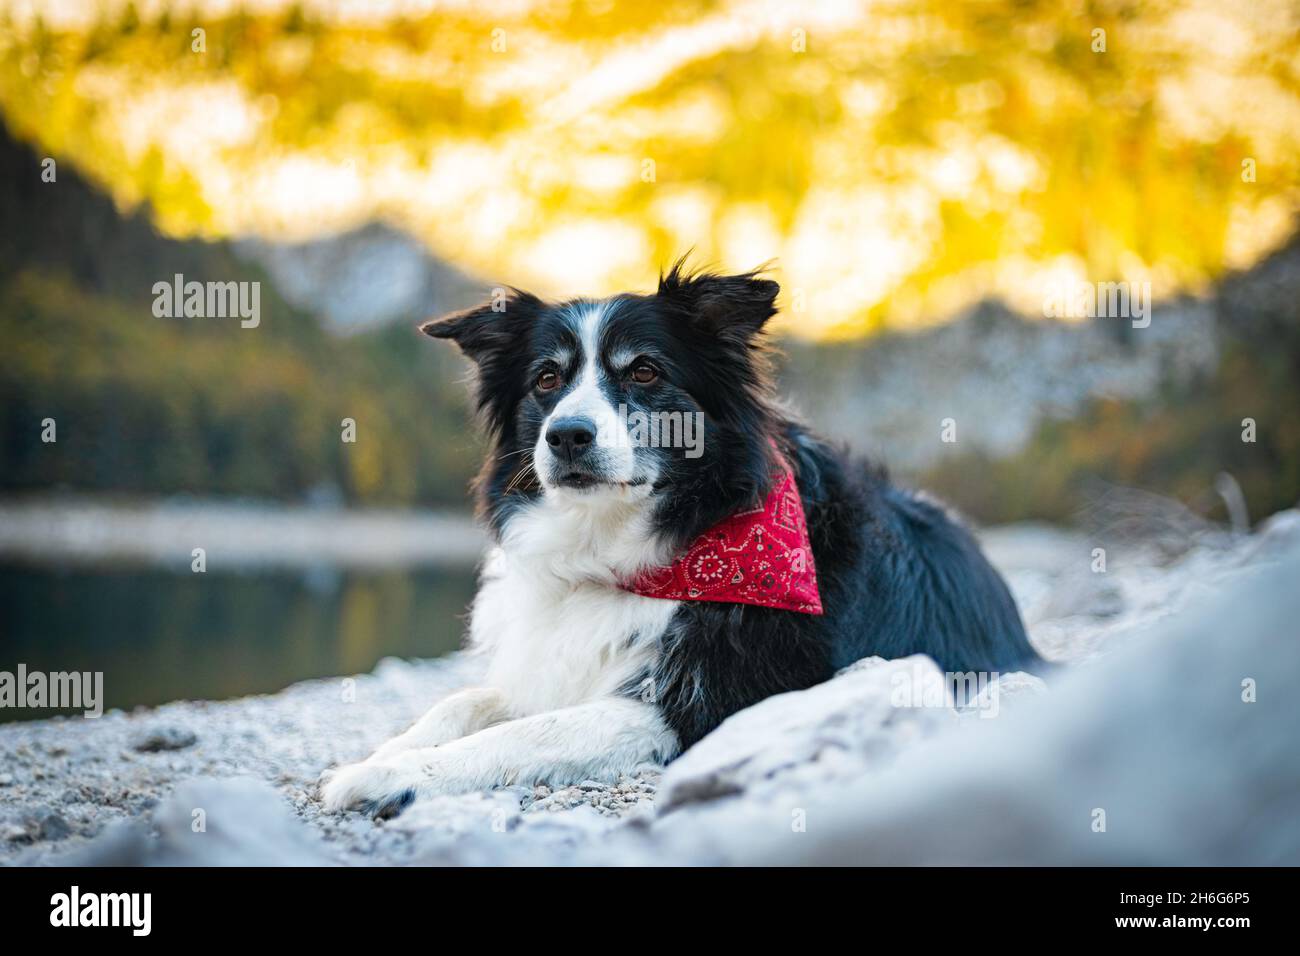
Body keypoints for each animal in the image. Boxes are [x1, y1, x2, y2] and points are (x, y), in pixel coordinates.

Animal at [319, 265, 1040, 816]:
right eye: (547, 380)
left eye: (643, 372)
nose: (567, 436)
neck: (628, 550)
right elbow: (464, 700)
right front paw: (387, 751)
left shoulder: (706, 703)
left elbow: (529, 733)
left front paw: (392, 775)